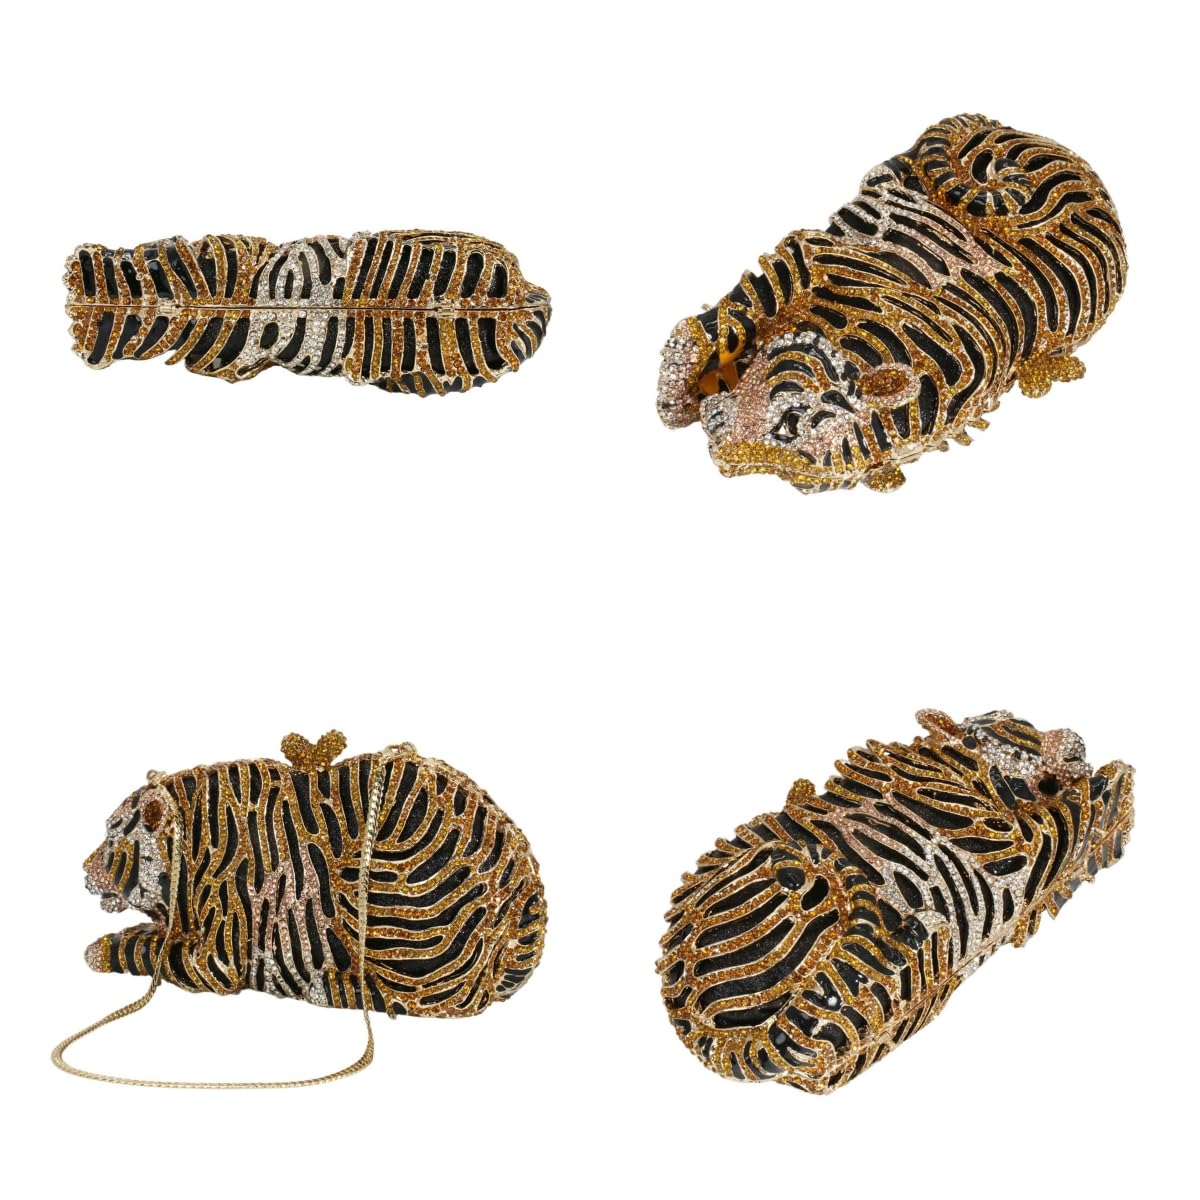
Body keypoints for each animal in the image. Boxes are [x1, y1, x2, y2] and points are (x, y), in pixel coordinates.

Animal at [83, 732, 546, 1017]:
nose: (84, 870)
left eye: (111, 836)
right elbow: (151, 936)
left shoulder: (217, 959)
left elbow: (150, 950)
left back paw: (326, 985)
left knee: (419, 995)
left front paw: (102, 949)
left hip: (388, 899)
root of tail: (528, 896)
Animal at [657, 710, 1133, 1093]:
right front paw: (1111, 786)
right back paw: (910, 936)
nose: (1076, 741)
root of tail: (690, 1016)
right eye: (1019, 731)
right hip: (797, 878)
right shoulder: (1010, 844)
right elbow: (1073, 814)